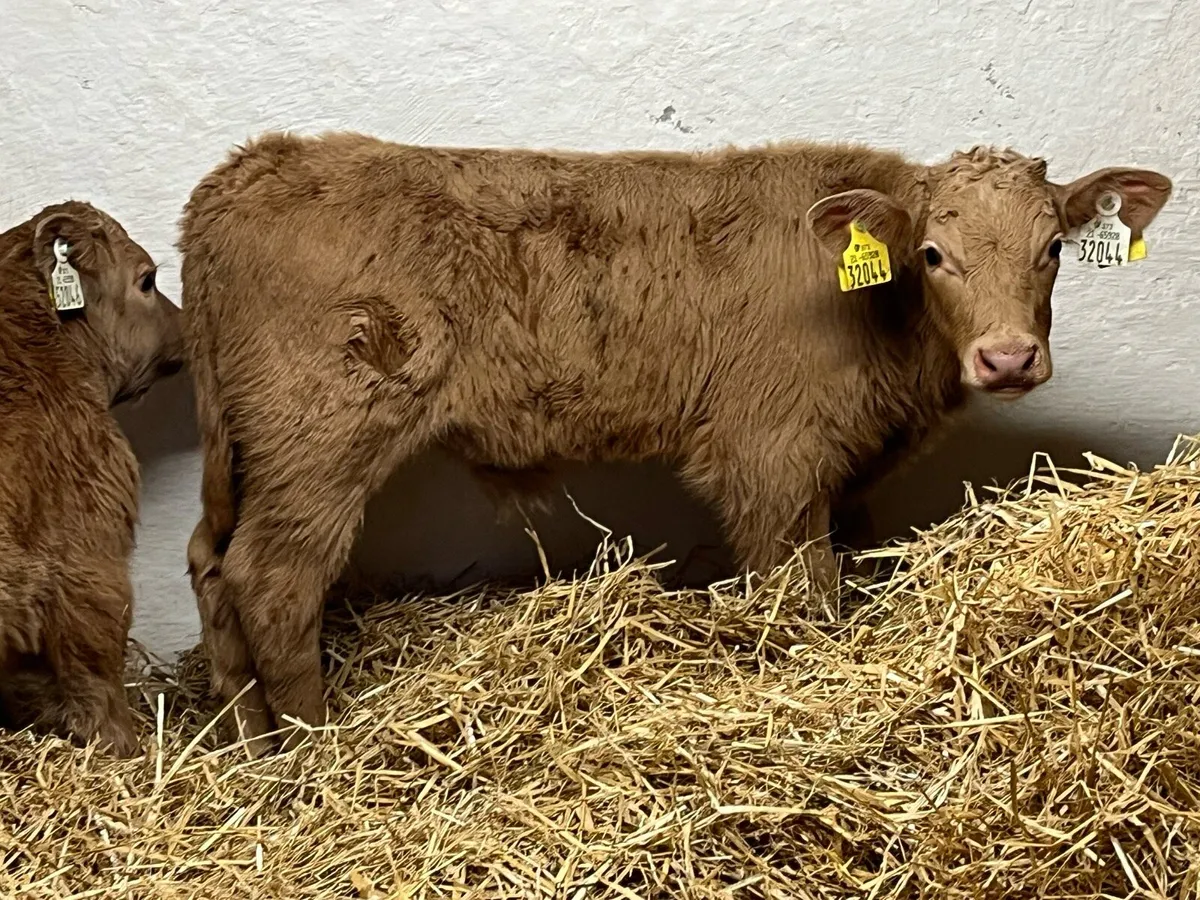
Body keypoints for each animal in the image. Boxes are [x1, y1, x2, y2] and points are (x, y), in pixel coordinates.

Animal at [178, 132, 1171, 752]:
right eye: (933, 255)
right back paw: (316, 751)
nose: (1007, 357)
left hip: (251, 452)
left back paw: (248, 748)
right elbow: (801, 590)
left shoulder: (837, 472)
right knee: (271, 579)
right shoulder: (770, 460)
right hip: (321, 439)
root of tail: (251, 166)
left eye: (1052, 248)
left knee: (209, 565)